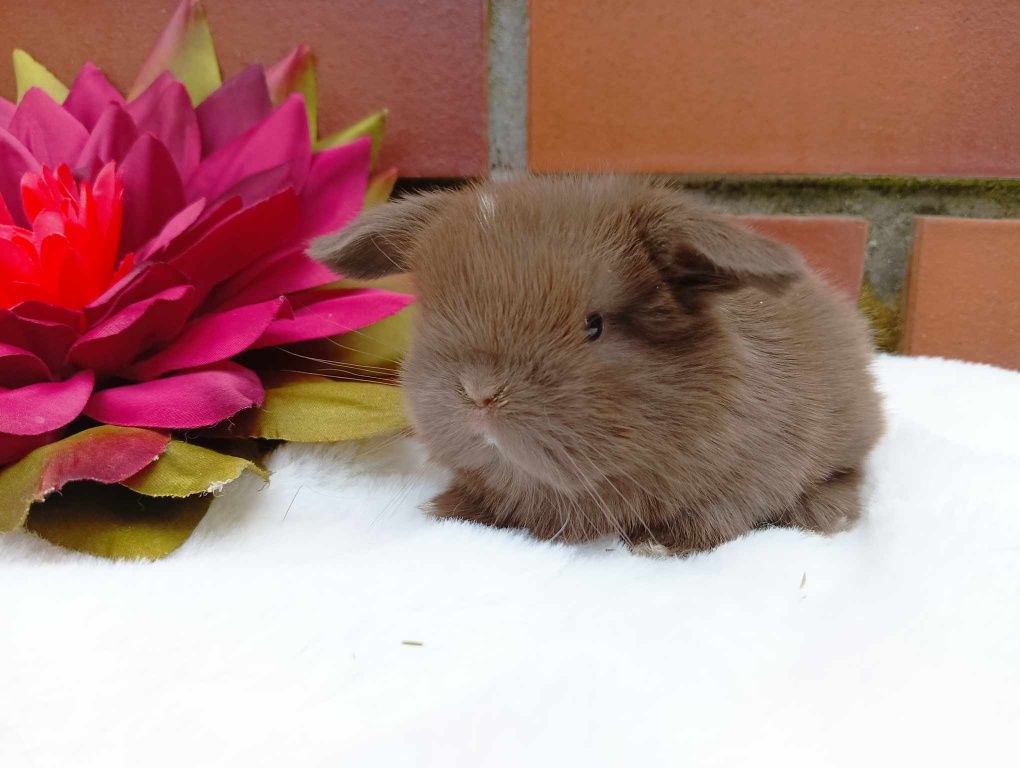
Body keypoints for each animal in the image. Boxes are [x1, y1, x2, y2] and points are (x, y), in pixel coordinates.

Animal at [306, 176, 881, 554]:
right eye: (432, 311)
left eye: (594, 325)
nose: (479, 391)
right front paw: (447, 508)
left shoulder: (752, 474)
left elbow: (716, 519)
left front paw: (655, 545)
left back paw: (828, 515)